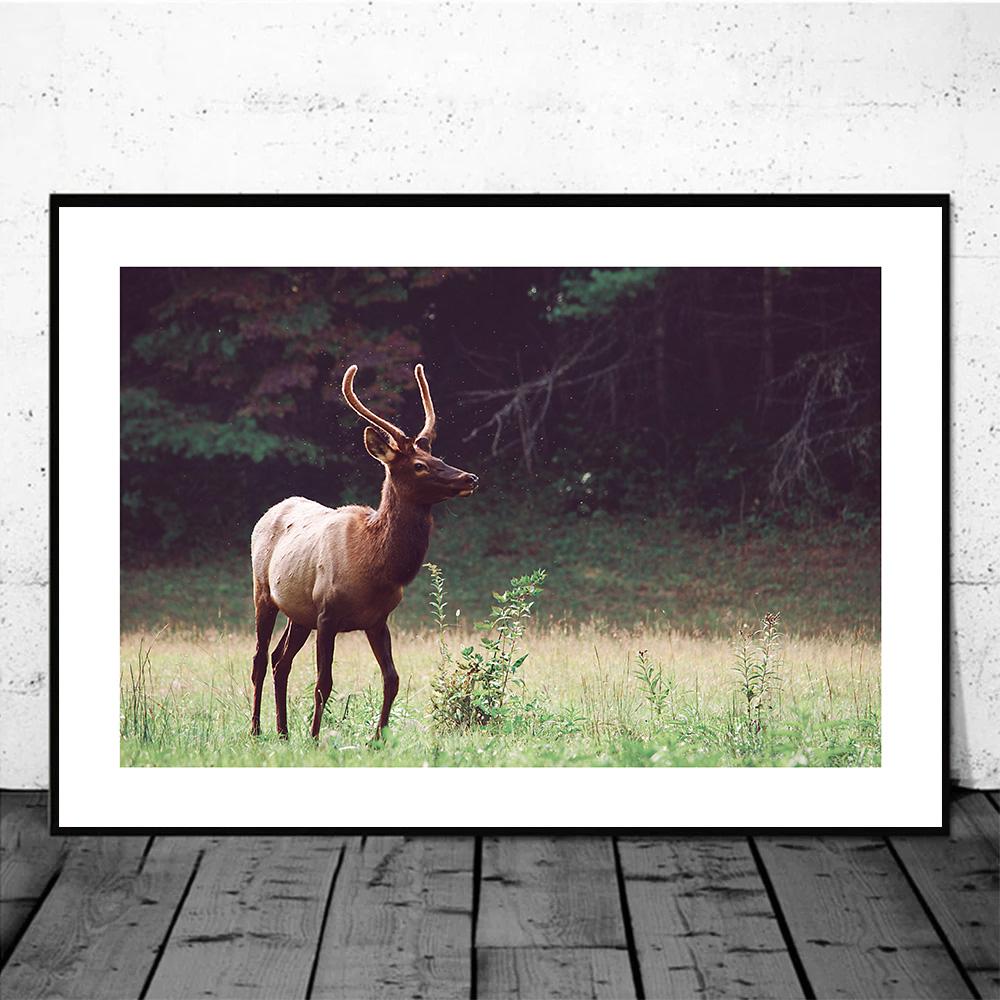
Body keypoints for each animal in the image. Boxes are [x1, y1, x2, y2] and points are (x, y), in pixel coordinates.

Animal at [249, 363, 479, 741]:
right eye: (419, 465)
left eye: (438, 457)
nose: (469, 478)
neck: (374, 567)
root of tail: (269, 511)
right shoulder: (327, 613)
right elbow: (323, 683)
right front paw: (315, 738)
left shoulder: (377, 619)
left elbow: (392, 679)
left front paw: (378, 738)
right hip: (263, 592)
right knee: (259, 659)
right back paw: (256, 729)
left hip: (299, 613)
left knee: (281, 660)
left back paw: (283, 731)